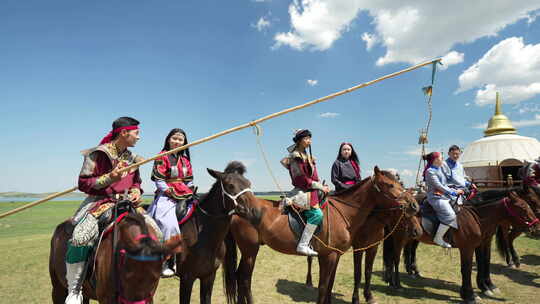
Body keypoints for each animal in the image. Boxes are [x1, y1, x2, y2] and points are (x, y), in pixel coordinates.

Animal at [221, 167, 420, 304]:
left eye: (400, 184)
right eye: (390, 185)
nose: (414, 205)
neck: (344, 212)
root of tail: (238, 209)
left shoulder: (336, 255)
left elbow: (330, 285)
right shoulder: (329, 256)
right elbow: (324, 287)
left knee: (239, 277)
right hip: (250, 251)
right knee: (244, 279)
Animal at [392, 191, 540, 302]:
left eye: (528, 205)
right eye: (523, 207)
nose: (536, 226)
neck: (477, 218)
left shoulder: (483, 243)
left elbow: (484, 263)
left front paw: (487, 287)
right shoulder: (468, 248)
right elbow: (467, 269)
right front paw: (470, 295)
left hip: (414, 237)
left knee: (410, 250)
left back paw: (413, 271)